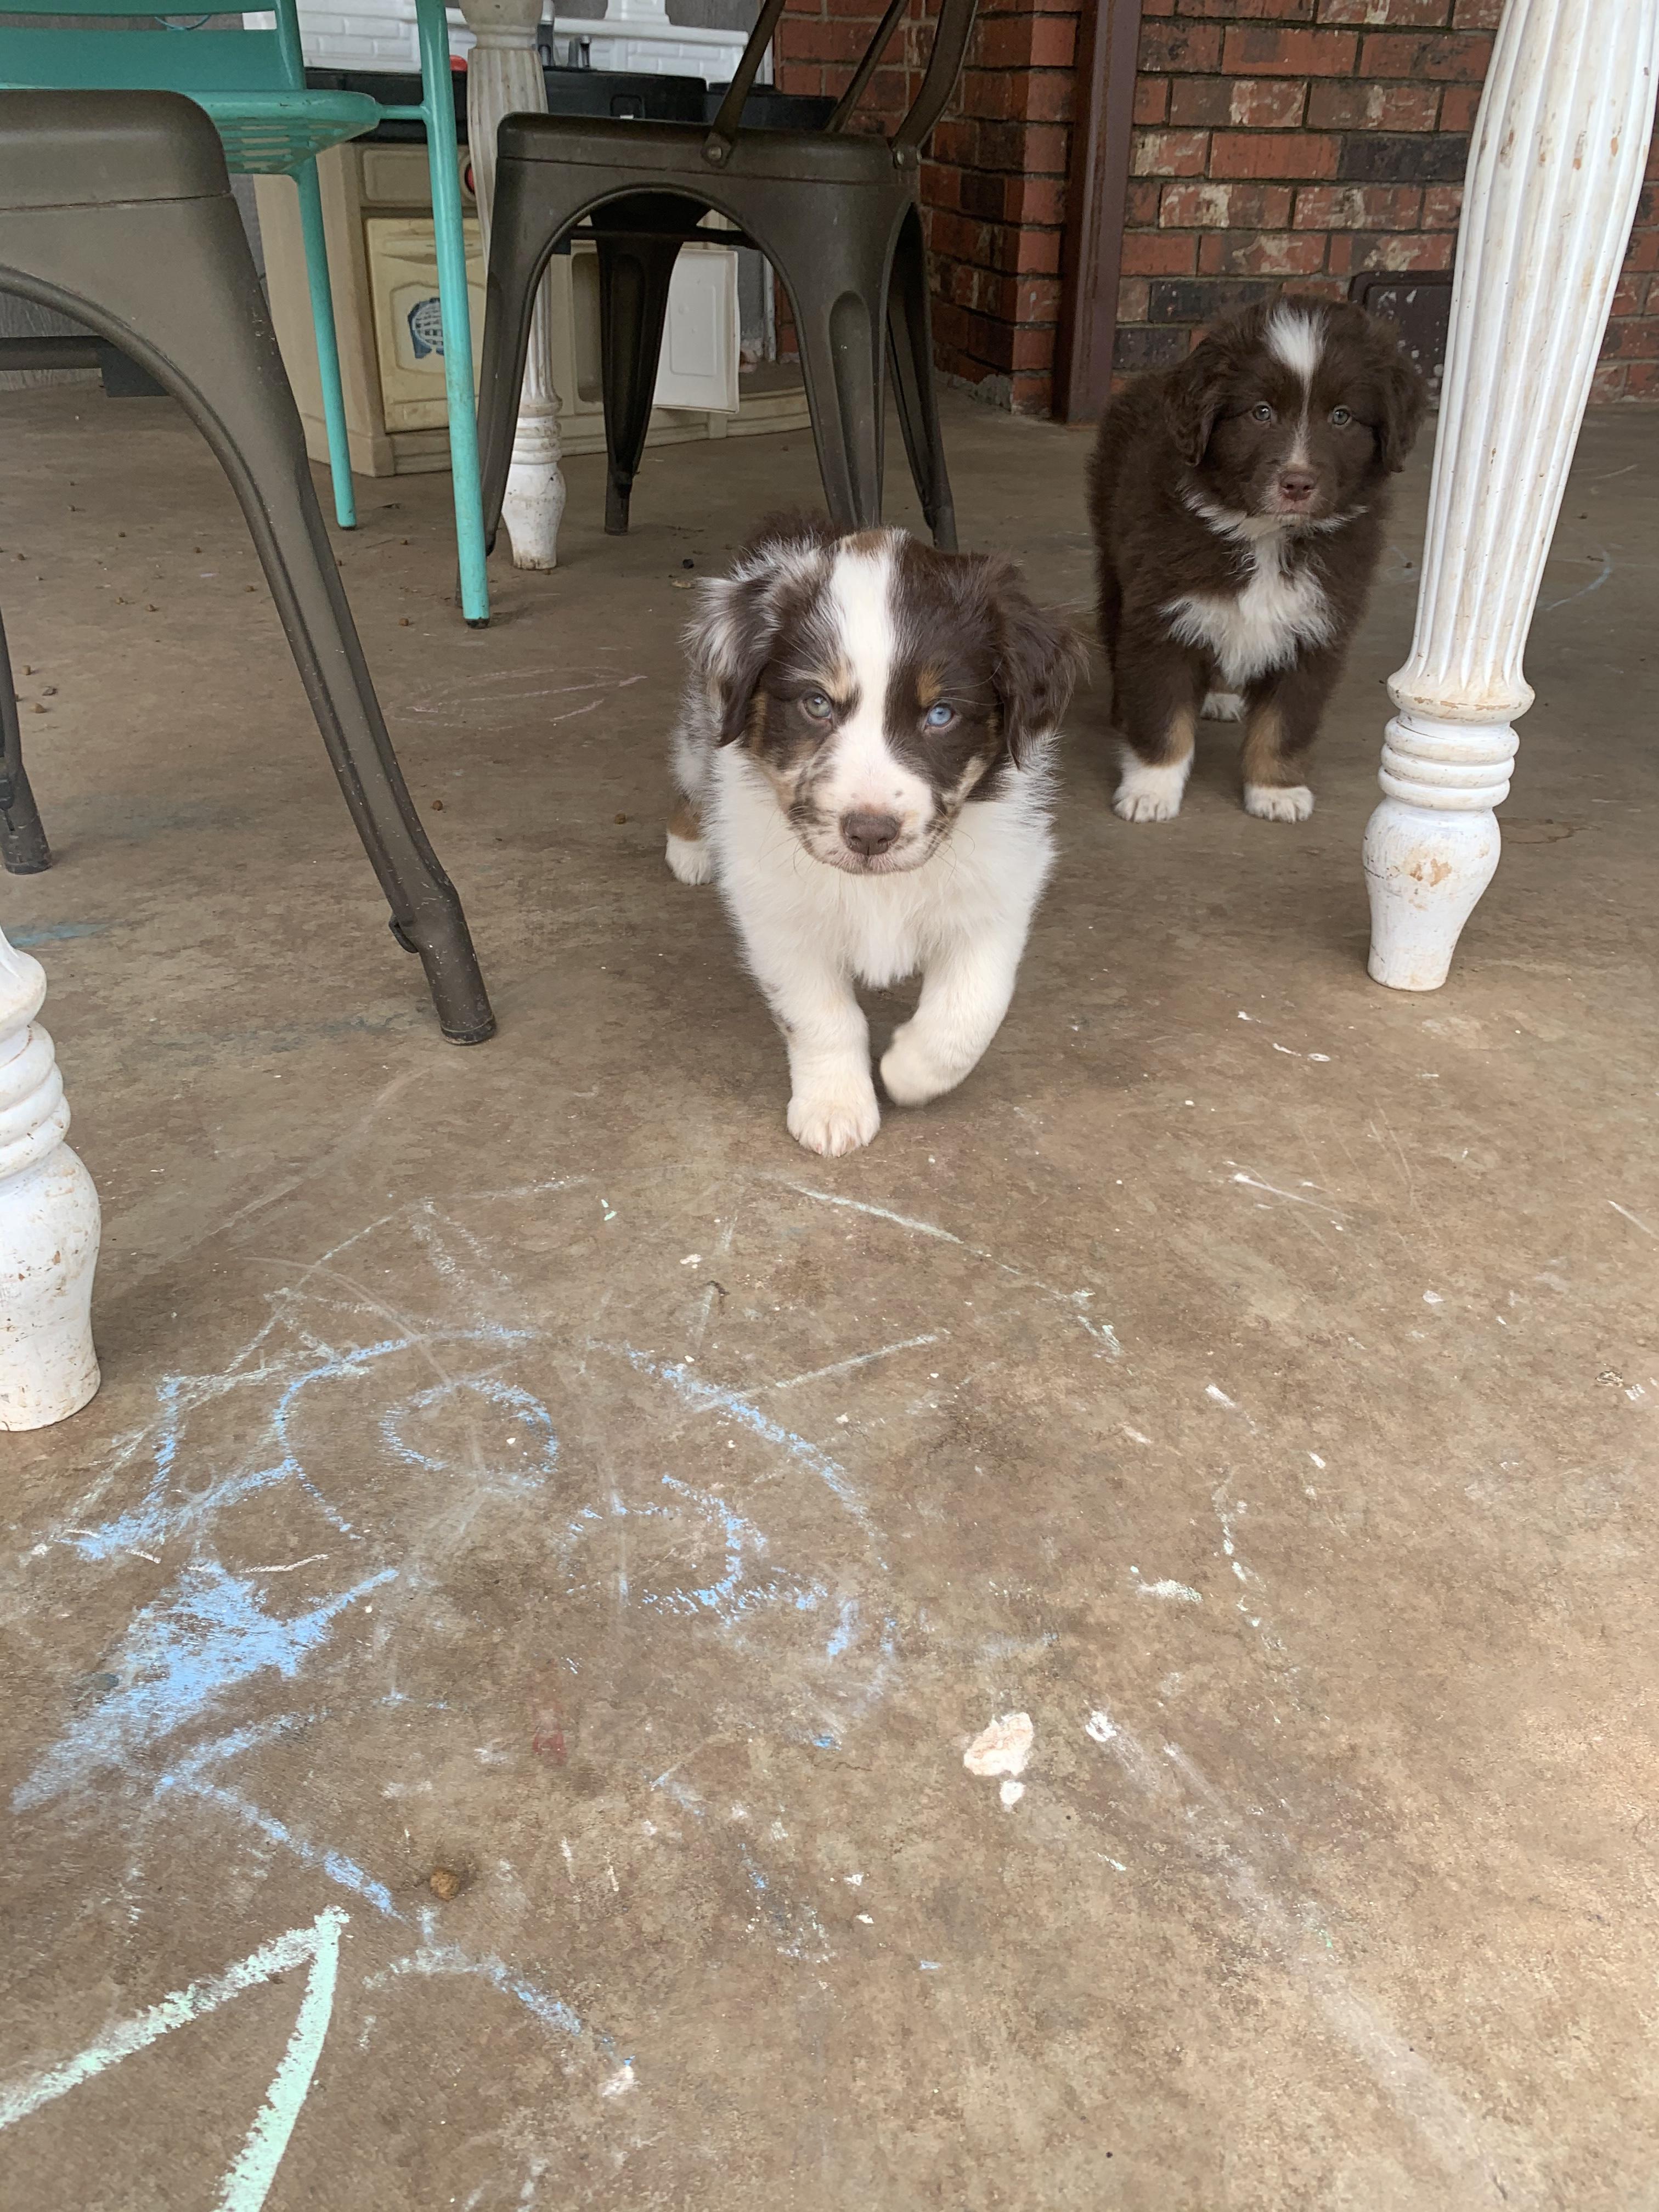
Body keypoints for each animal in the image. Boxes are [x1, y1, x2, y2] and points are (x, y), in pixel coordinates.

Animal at [665, 516, 1085, 1157]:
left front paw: (908, 1073)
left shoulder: (999, 889)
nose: (869, 834)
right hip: (702, 727)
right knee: (691, 772)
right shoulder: (778, 915)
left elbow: (970, 1011)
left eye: (940, 714)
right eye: (816, 703)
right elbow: (821, 1016)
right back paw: (690, 847)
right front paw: (835, 1108)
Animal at [1088, 295, 1426, 823]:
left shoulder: (1315, 633)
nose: (1297, 483)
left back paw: (1220, 695)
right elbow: (1164, 715)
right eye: (1261, 413)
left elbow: (1285, 724)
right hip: (1115, 560)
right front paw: (1150, 790)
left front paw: (1276, 791)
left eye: (1342, 417)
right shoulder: (1163, 619)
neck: (1266, 539)